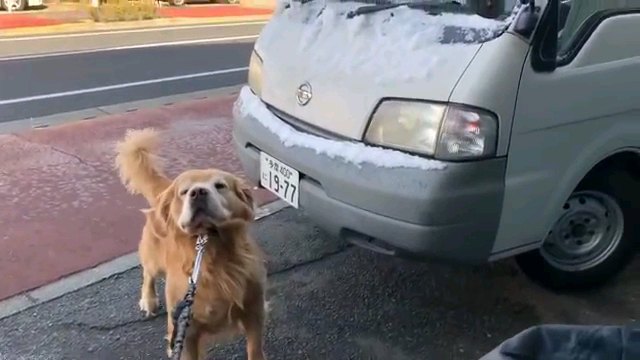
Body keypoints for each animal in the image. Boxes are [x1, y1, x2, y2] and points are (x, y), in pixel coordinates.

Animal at [114, 129, 266, 360]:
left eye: (220, 186)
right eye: (184, 192)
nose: (198, 192)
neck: (211, 249)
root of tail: (164, 189)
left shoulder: (254, 311)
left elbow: (255, 348)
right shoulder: (186, 329)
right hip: (154, 257)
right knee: (148, 273)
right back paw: (148, 299)